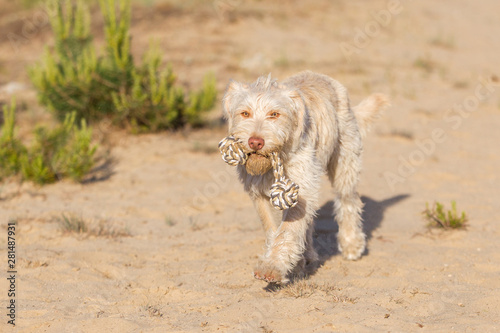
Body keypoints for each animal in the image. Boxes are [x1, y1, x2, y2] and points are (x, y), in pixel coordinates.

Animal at [221, 70, 388, 282]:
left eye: (274, 114)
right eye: (245, 113)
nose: (256, 142)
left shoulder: (298, 188)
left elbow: (287, 231)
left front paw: (272, 266)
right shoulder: (259, 192)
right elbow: (273, 228)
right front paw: (283, 262)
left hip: (345, 165)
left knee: (348, 202)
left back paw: (351, 244)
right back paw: (305, 256)